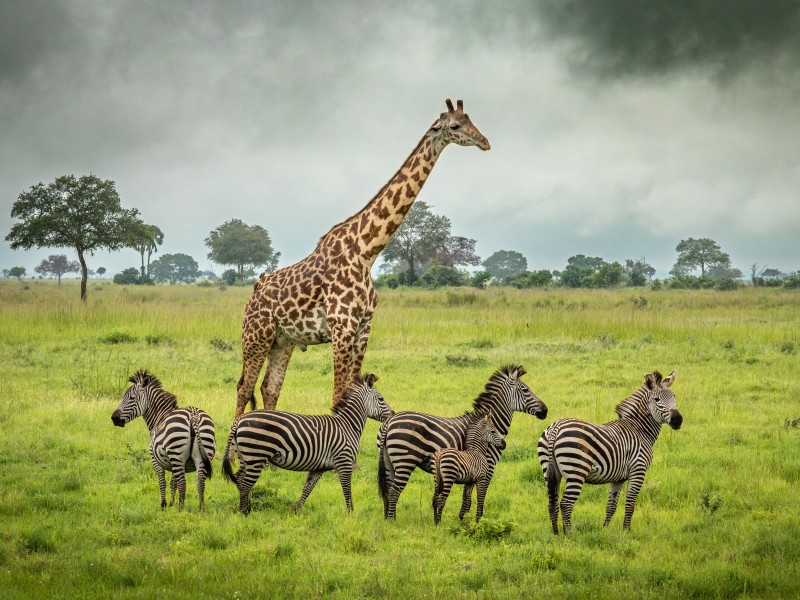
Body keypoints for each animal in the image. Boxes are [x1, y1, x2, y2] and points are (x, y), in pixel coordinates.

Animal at [111, 370, 216, 510]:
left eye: (132, 398)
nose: (114, 418)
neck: (159, 416)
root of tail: (193, 415)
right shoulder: (173, 463)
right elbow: (173, 482)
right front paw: (172, 503)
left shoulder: (155, 460)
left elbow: (162, 481)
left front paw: (164, 505)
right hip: (202, 454)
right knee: (200, 481)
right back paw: (201, 508)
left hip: (177, 452)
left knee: (182, 483)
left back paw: (181, 508)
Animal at [222, 373, 393, 515]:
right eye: (381, 399)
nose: (393, 414)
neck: (347, 425)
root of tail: (239, 420)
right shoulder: (344, 462)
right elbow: (347, 489)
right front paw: (351, 513)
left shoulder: (318, 468)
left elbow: (307, 488)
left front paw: (296, 511)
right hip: (256, 456)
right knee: (245, 484)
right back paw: (245, 513)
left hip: (246, 457)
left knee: (239, 480)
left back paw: (246, 508)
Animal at [235, 99, 490, 417]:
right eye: (455, 125)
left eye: (471, 120)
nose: (485, 142)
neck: (366, 252)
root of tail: (254, 290)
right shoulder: (342, 327)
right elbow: (338, 397)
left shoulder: (363, 328)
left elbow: (354, 390)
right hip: (256, 335)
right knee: (244, 388)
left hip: (283, 341)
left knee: (269, 388)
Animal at [377, 364, 547, 520]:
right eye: (525, 390)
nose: (545, 411)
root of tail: (389, 422)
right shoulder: (488, 466)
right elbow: (480, 495)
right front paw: (477, 520)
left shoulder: (472, 468)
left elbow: (467, 496)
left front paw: (462, 518)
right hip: (405, 460)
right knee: (394, 491)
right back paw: (392, 521)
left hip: (389, 461)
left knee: (388, 490)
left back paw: (387, 521)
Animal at [537, 369, 682, 534]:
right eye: (657, 399)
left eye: (674, 396)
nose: (678, 420)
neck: (639, 429)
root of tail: (555, 428)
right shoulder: (638, 470)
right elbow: (630, 504)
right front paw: (626, 531)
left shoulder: (617, 478)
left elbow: (611, 506)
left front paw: (605, 530)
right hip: (576, 470)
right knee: (566, 504)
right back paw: (569, 534)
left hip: (550, 471)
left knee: (552, 503)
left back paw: (556, 533)